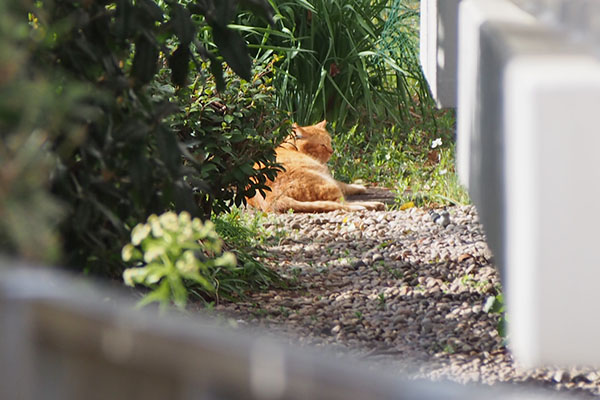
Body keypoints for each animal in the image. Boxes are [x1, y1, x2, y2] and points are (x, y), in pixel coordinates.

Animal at [247, 119, 384, 212]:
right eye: (322, 145)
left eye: (330, 142)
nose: (332, 151)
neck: (291, 147)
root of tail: (271, 198)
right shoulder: (329, 176)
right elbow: (344, 184)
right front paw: (360, 186)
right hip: (325, 182)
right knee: (342, 204)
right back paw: (371, 205)